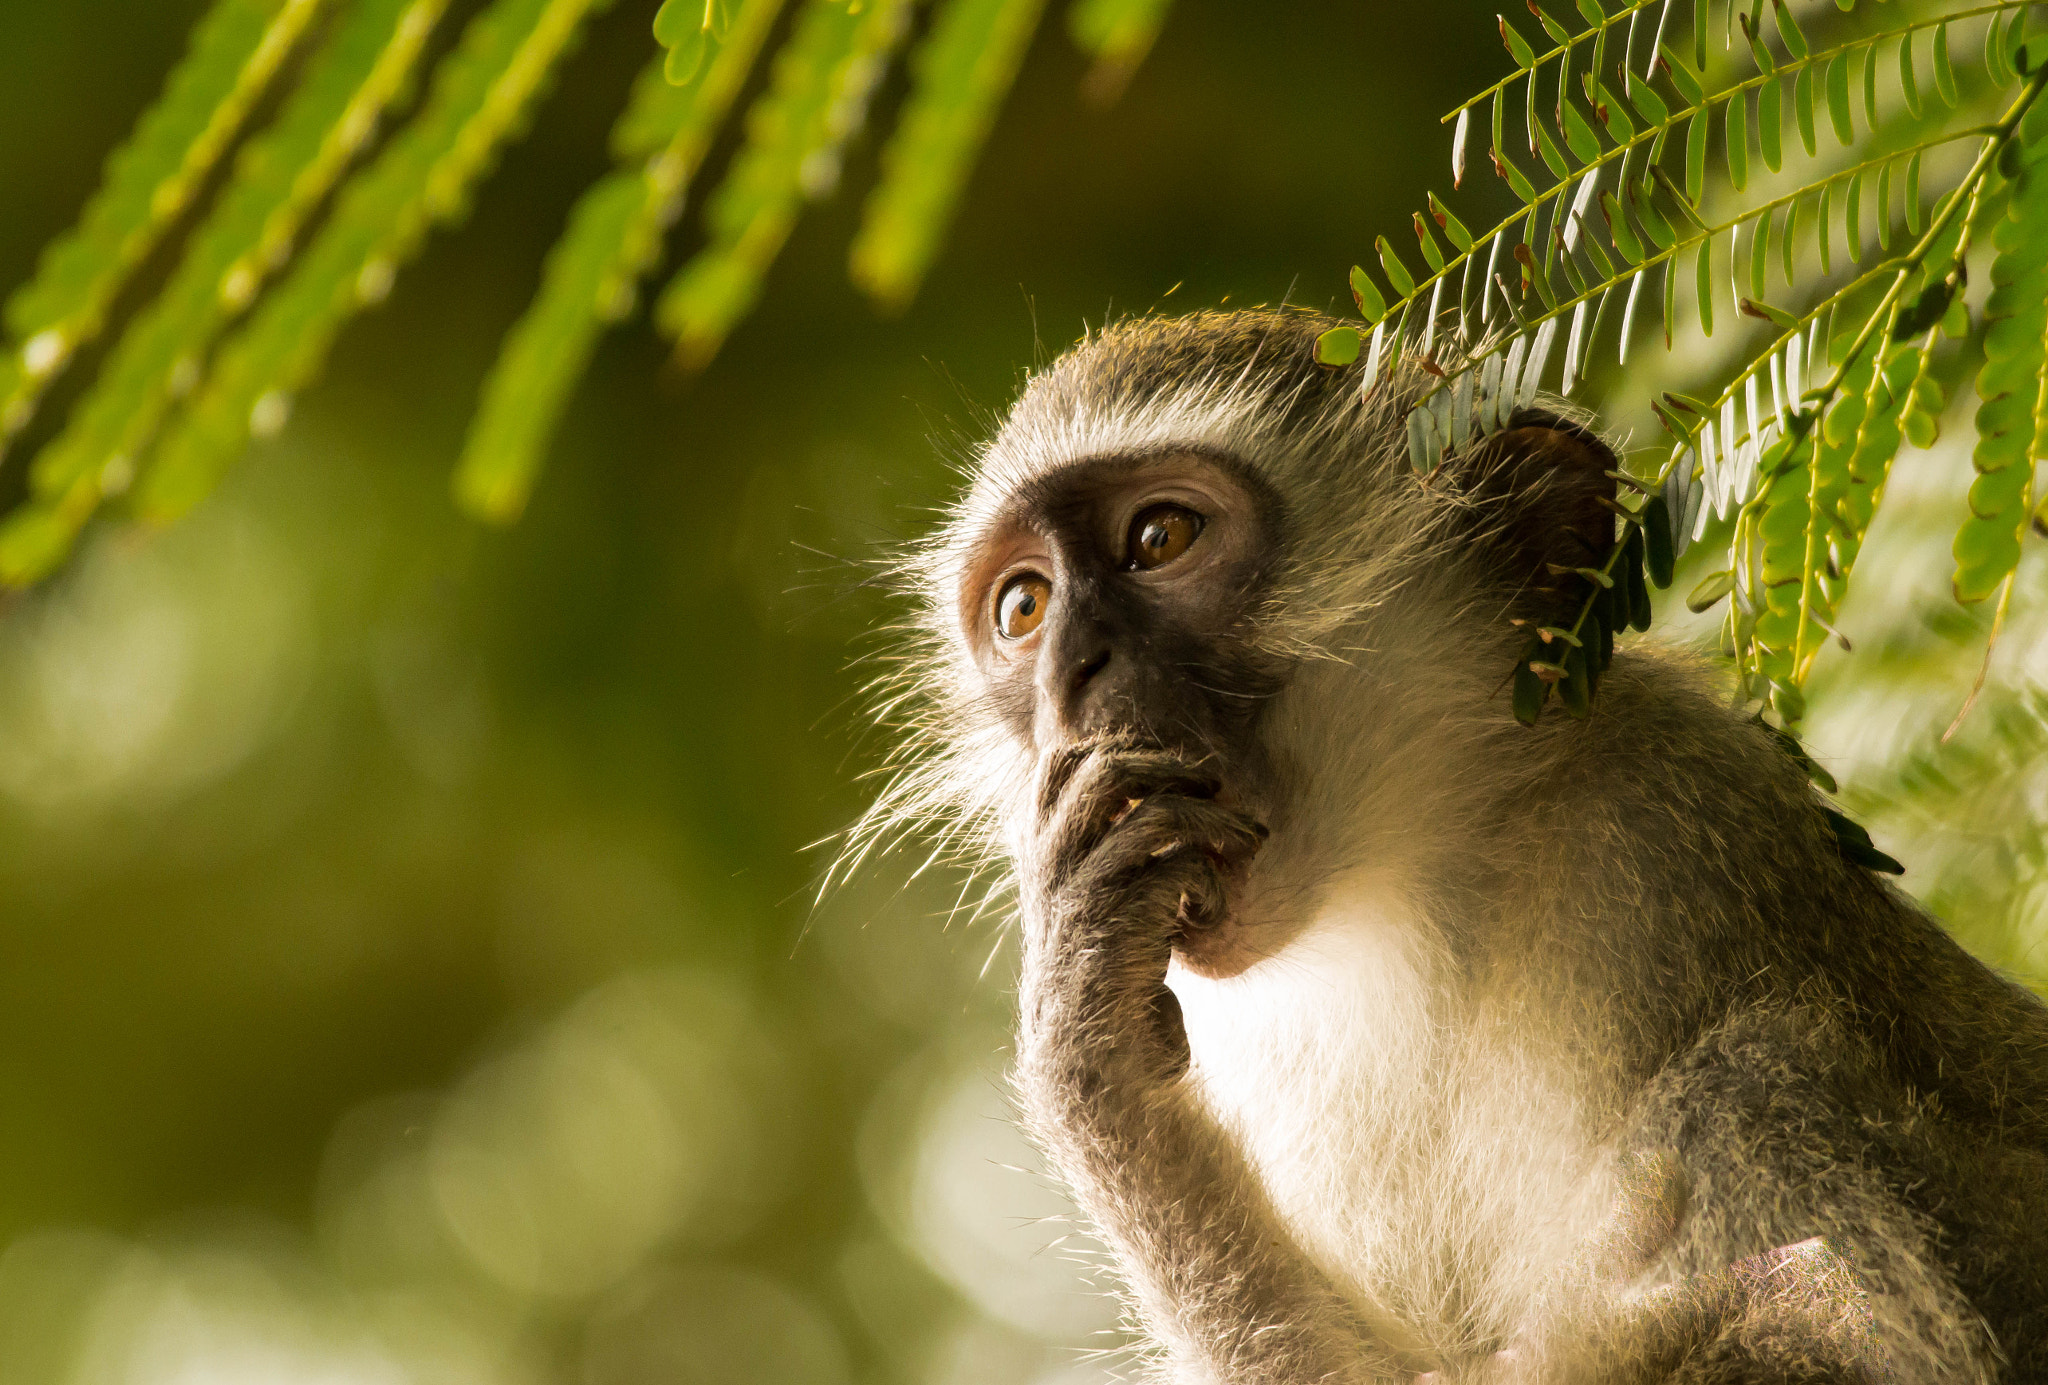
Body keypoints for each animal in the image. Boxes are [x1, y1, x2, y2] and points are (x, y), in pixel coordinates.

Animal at [864, 309, 2048, 1376]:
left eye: (1159, 540)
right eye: (1023, 607)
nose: (1070, 673)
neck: (1433, 874)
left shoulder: (1675, 830)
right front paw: (1089, 1032)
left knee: (1746, 1085)